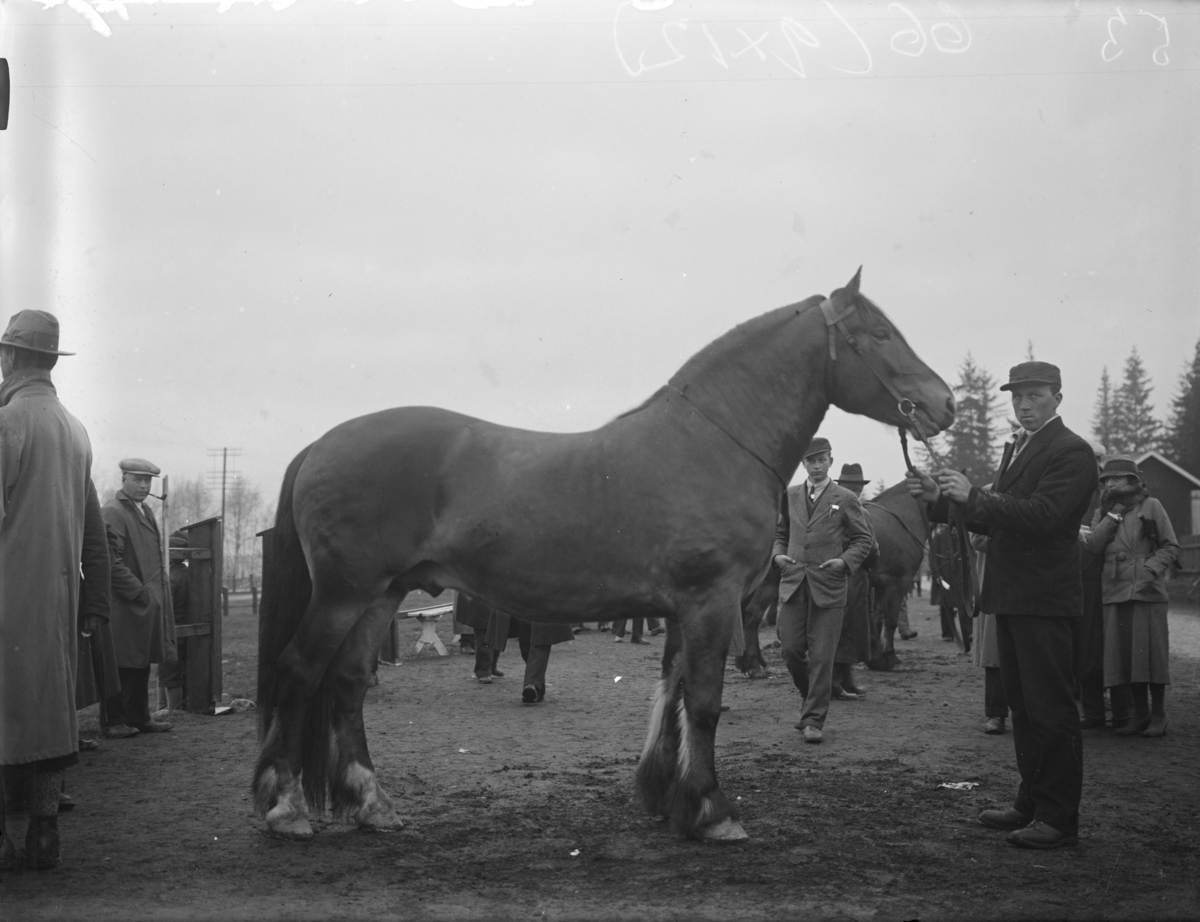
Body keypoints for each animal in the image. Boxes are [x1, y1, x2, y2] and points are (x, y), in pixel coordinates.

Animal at [255, 268, 955, 845]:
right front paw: (713, 810)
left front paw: (665, 798)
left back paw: (372, 805)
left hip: (382, 594)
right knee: (299, 672)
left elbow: (673, 694)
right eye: (881, 333)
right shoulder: (711, 601)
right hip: (344, 594)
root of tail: (321, 444)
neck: (711, 443)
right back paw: (287, 809)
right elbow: (704, 702)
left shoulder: (683, 608)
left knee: (347, 683)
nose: (943, 403)